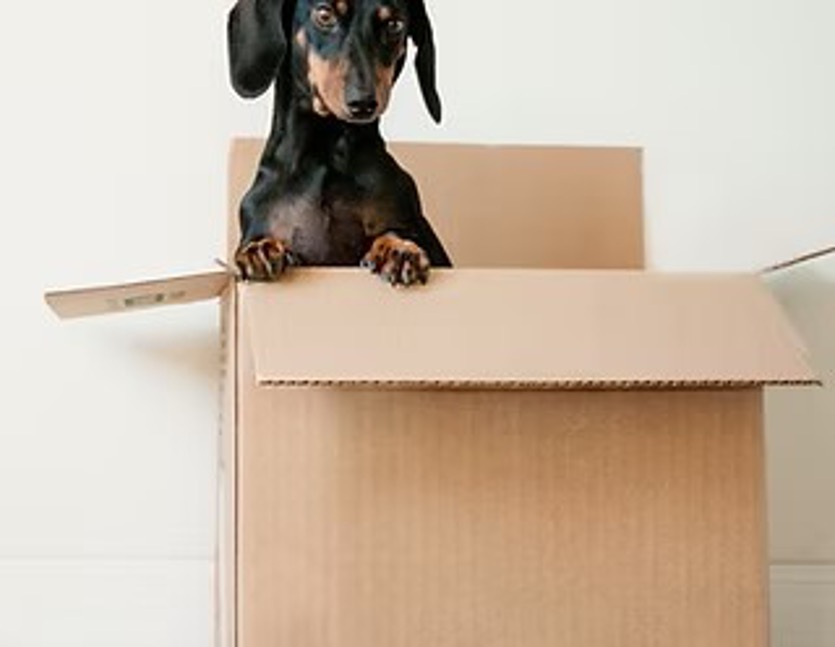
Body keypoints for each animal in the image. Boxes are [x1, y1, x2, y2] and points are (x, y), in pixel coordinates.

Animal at [228, 0, 451, 286]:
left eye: (394, 25)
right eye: (324, 14)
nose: (363, 103)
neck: (327, 153)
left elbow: (396, 232)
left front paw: (399, 248)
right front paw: (260, 249)